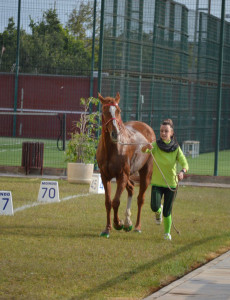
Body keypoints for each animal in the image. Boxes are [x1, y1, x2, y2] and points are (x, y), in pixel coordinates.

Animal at [96, 91, 155, 237]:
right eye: (104, 110)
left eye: (118, 111)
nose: (115, 134)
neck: (114, 148)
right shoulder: (105, 177)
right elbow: (108, 202)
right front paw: (107, 229)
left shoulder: (122, 175)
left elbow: (116, 202)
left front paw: (118, 223)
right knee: (131, 188)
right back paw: (128, 223)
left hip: (145, 173)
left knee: (140, 198)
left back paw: (137, 226)